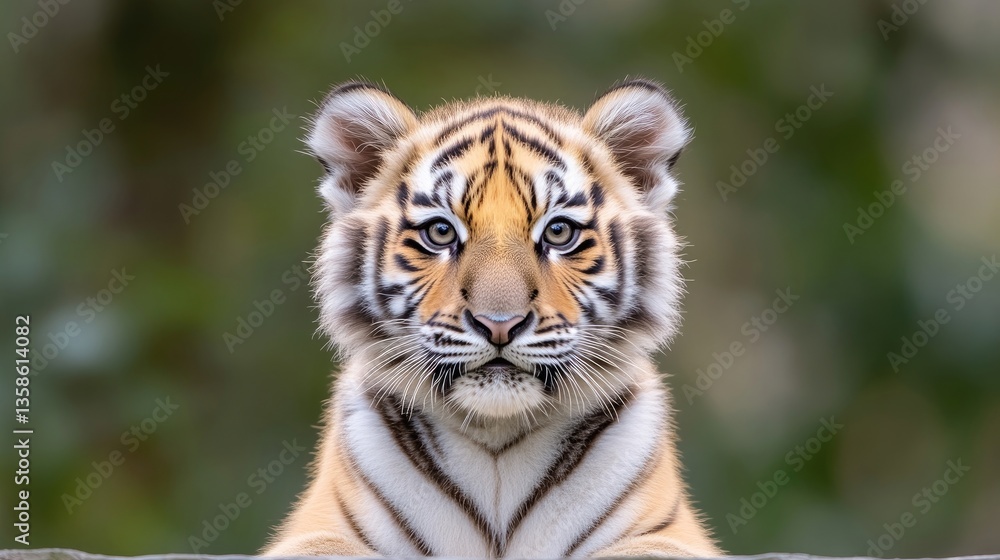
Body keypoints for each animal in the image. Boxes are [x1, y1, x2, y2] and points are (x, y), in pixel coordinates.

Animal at [262, 78, 722, 557]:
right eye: (440, 232)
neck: (496, 437)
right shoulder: (315, 529)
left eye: (559, 232)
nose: (499, 323)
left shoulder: (669, 535)